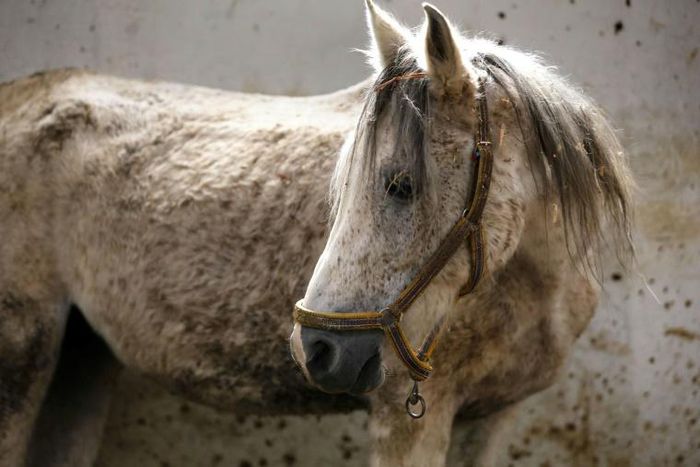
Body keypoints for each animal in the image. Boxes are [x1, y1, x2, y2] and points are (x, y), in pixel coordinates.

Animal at [0, 1, 632, 465]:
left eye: (399, 184)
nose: (318, 350)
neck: (531, 287)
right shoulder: (407, 421)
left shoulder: (497, 418)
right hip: (23, 352)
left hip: (81, 357)